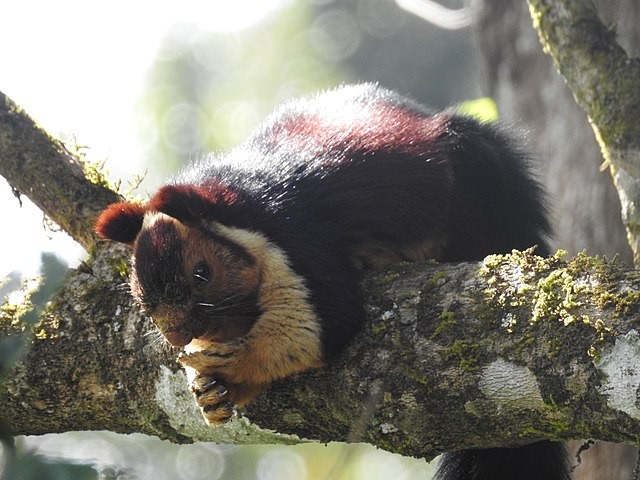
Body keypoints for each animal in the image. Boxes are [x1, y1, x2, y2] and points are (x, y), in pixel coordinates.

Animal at [96, 84, 568, 480]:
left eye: (202, 272)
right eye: (137, 289)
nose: (175, 334)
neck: (240, 206)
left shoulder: (299, 240)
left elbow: (324, 323)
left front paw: (234, 363)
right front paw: (210, 392)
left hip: (478, 180)